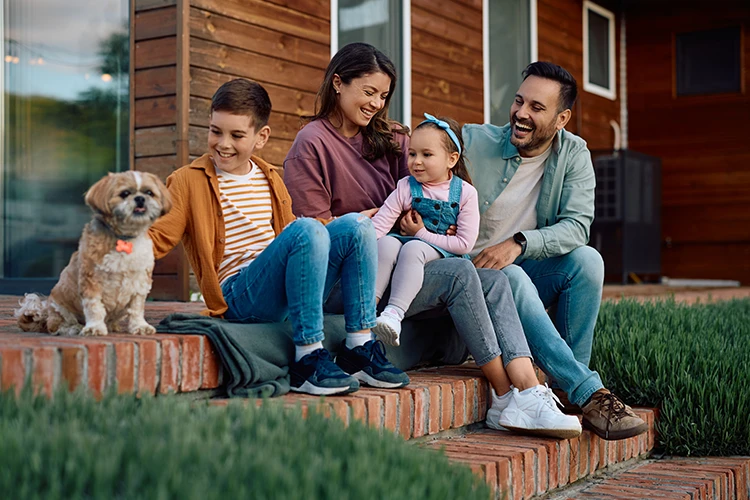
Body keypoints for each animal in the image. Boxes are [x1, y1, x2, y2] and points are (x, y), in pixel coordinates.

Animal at [15, 170, 173, 338]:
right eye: (125, 193)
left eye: (149, 192)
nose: (140, 198)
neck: (124, 238)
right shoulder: (91, 281)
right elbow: (94, 307)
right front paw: (94, 328)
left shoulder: (140, 281)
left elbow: (136, 308)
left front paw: (140, 326)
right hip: (59, 306)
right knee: (56, 326)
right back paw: (73, 328)